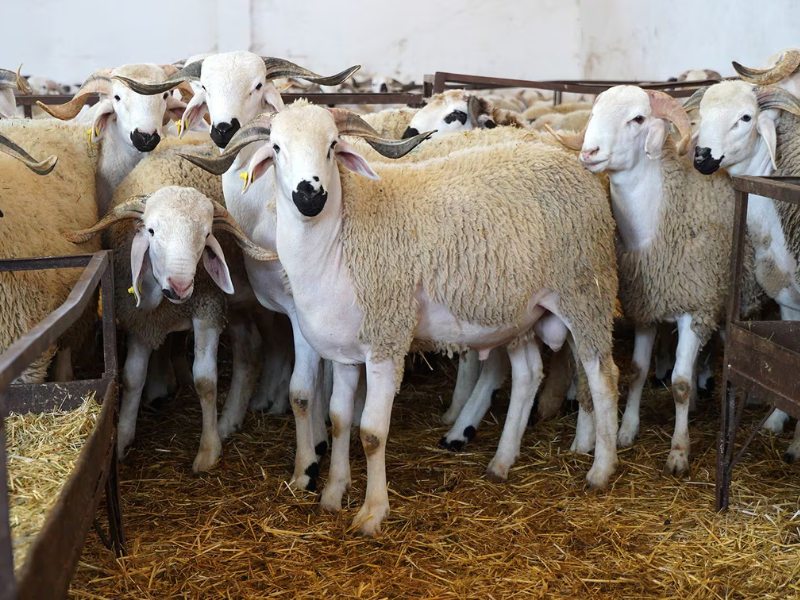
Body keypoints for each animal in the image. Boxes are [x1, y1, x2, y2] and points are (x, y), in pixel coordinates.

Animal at [65, 185, 276, 472]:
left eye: (207, 234)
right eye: (151, 231)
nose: (180, 286)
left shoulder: (208, 310)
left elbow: (206, 382)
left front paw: (208, 450)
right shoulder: (141, 321)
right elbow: (132, 377)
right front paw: (122, 440)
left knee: (254, 349)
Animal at [114, 52, 361, 491]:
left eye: (258, 84)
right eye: (205, 87)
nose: (224, 129)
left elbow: (308, 382)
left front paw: (311, 457)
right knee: (253, 353)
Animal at [181, 103, 620, 536]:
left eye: (333, 144)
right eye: (275, 148)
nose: (310, 195)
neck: (340, 239)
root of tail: (570, 163)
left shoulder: (386, 340)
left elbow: (372, 433)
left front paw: (372, 514)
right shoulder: (344, 353)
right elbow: (339, 421)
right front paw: (332, 494)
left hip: (586, 294)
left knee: (603, 378)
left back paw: (601, 469)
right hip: (520, 314)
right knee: (528, 374)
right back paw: (501, 462)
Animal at [548, 85, 753, 475]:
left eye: (638, 118)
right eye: (594, 113)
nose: (589, 152)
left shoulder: (695, 308)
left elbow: (680, 383)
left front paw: (678, 452)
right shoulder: (645, 306)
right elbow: (638, 371)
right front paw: (626, 431)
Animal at [686, 80, 800, 462]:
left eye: (746, 117)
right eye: (702, 114)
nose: (701, 157)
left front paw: (797, 445)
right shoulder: (786, 298)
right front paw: (777, 420)